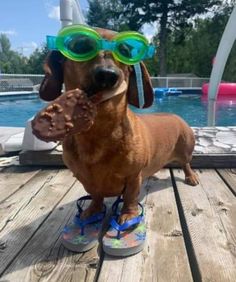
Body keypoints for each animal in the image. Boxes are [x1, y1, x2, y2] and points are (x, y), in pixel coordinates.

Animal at [37, 27, 199, 224]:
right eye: (81, 46)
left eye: (125, 52)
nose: (107, 74)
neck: (98, 132)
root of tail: (176, 116)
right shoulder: (86, 180)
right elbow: (96, 196)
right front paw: (92, 210)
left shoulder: (133, 177)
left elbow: (129, 197)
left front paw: (128, 215)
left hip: (185, 151)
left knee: (186, 164)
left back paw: (191, 177)